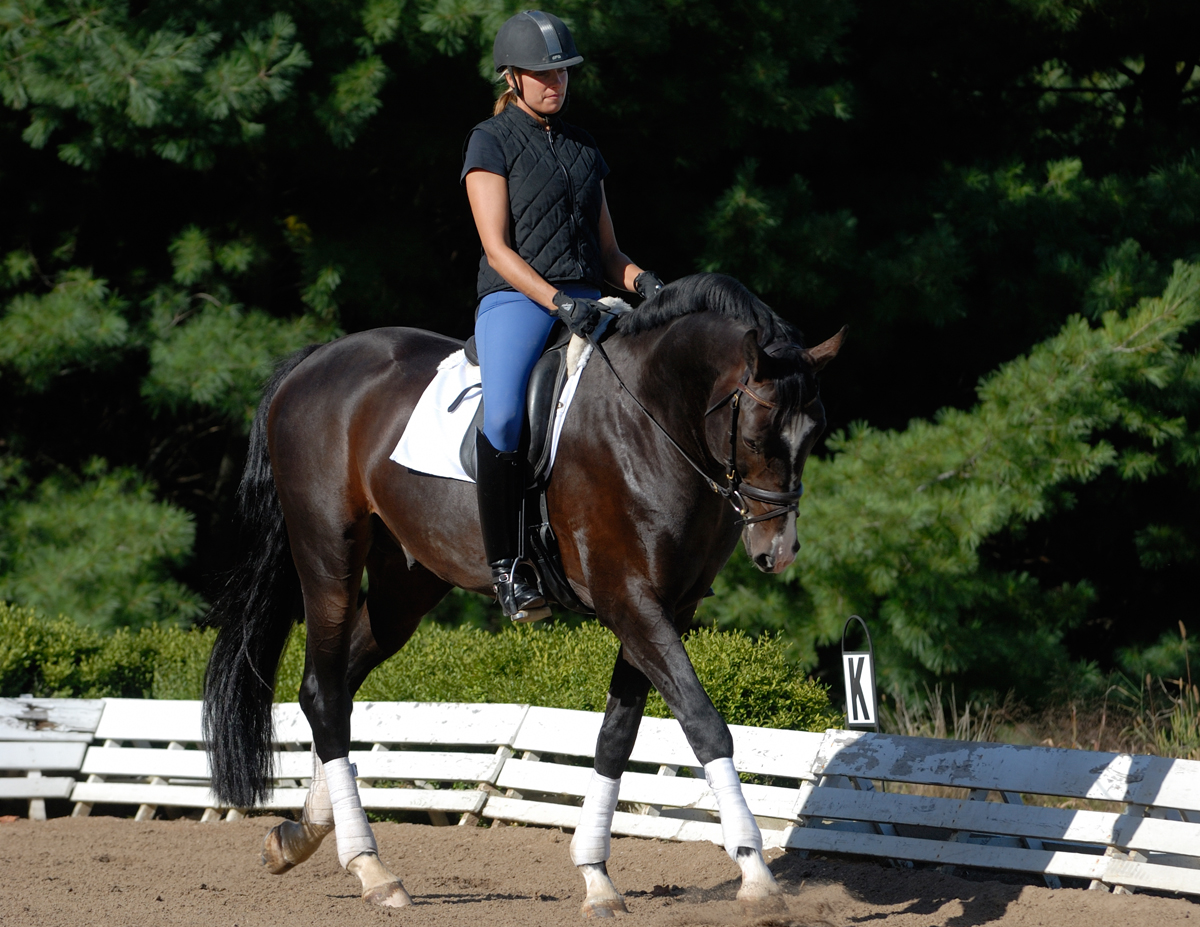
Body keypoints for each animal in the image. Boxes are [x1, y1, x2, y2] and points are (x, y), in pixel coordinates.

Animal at [202, 272, 844, 917]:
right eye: (757, 436)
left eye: (813, 434)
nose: (778, 550)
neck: (653, 420)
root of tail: (315, 361)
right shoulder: (630, 601)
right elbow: (703, 722)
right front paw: (756, 873)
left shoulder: (664, 608)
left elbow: (616, 736)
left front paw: (596, 877)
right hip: (328, 555)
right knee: (325, 690)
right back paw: (371, 868)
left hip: (404, 583)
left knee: (333, 686)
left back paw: (299, 836)